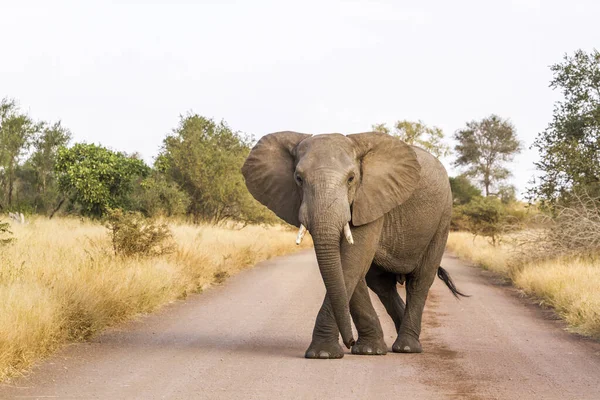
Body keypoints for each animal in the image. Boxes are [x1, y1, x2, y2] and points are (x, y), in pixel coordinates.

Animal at [241, 131, 466, 360]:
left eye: (351, 179)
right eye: (298, 178)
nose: (349, 341)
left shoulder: (371, 198)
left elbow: (352, 261)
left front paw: (324, 353)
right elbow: (349, 268)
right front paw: (367, 350)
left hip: (443, 218)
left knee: (420, 281)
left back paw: (407, 348)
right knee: (381, 284)